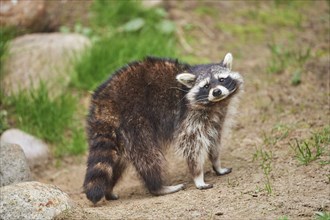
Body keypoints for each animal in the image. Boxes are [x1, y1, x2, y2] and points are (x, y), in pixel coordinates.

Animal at [82, 52, 242, 205]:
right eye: (206, 86)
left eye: (221, 80)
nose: (217, 92)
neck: (214, 104)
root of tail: (104, 104)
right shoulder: (188, 116)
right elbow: (192, 144)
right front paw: (198, 176)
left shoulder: (217, 116)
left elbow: (214, 139)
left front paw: (216, 163)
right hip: (134, 122)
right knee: (148, 155)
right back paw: (157, 187)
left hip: (118, 132)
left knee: (118, 160)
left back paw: (109, 189)